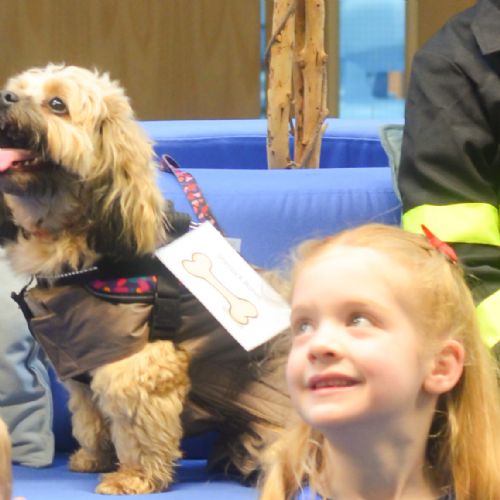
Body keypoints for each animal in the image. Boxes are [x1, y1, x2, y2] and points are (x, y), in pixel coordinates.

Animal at [0, 64, 290, 494]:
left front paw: (133, 476)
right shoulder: (83, 363)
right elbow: (91, 419)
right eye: (15, 89)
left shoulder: (138, 366)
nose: (4, 98)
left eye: (57, 104)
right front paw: (94, 458)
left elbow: (138, 431)